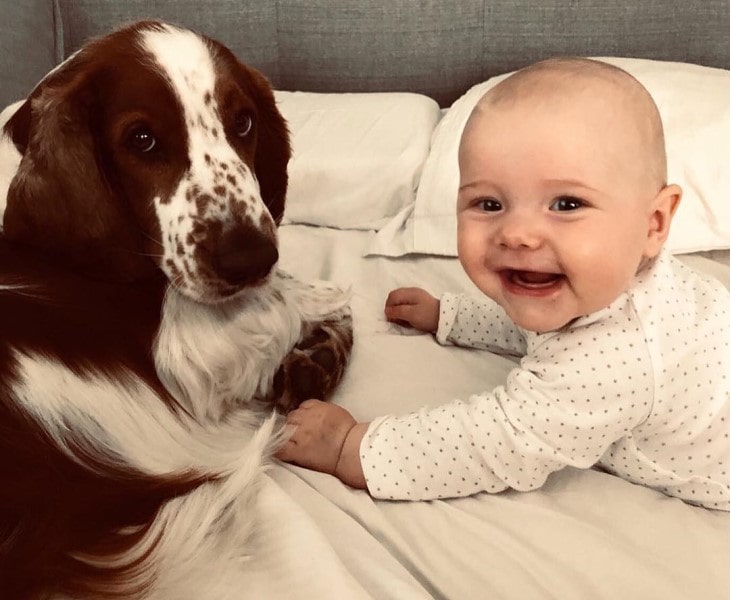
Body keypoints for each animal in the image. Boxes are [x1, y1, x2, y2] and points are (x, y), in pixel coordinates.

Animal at [0, 19, 352, 600]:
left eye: (243, 122)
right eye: (141, 139)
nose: (250, 257)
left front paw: (314, 357)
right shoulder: (186, 353)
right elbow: (318, 294)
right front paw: (318, 343)